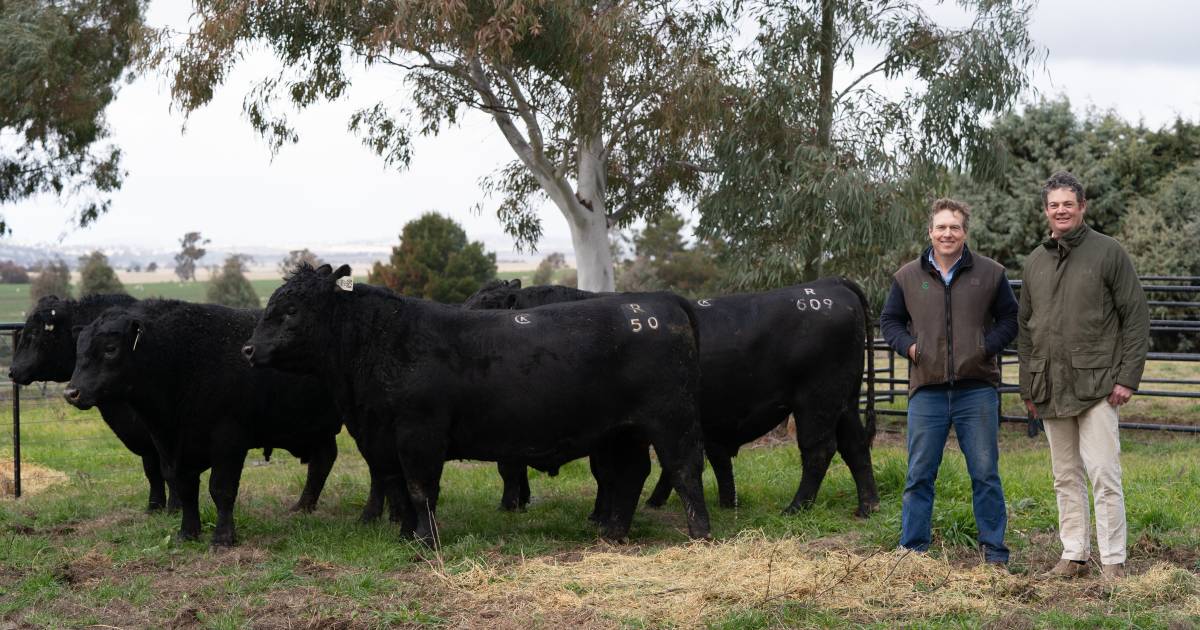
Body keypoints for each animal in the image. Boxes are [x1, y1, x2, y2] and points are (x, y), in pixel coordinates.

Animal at [10, 295, 176, 511]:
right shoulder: (142, 436)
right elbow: (152, 470)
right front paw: (154, 506)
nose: (12, 370)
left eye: (34, 333)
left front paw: (174, 507)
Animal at [66, 300, 343, 544]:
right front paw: (187, 533)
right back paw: (302, 507)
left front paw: (223, 537)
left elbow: (221, 489)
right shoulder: (170, 447)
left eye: (110, 348)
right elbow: (185, 489)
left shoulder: (229, 440)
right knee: (323, 460)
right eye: (78, 350)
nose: (71, 392)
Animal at [243, 262, 710, 542]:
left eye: (290, 309)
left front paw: (426, 542)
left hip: (672, 419)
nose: (248, 350)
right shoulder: (380, 439)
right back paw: (612, 534)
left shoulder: (419, 435)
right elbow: (396, 488)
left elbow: (420, 489)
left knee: (685, 469)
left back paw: (699, 534)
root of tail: (658, 301)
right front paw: (405, 537)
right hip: (622, 431)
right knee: (629, 475)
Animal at [463, 277, 878, 513]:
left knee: (819, 451)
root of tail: (831, 286)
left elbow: (522, 467)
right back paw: (867, 506)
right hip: (843, 401)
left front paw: (514, 506)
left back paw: (797, 507)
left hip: (816, 401)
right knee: (855, 447)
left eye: (485, 304)